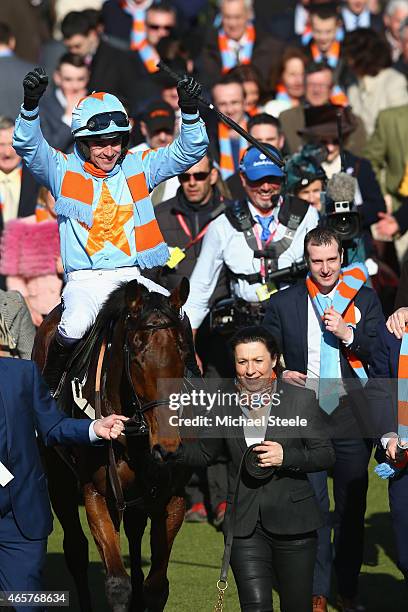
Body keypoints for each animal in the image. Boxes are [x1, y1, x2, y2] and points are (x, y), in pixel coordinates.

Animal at [32, 278, 192, 612]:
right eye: (137, 357)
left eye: (183, 352)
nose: (168, 448)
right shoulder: (95, 492)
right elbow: (117, 583)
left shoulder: (173, 497)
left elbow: (156, 585)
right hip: (58, 479)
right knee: (76, 550)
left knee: (133, 532)